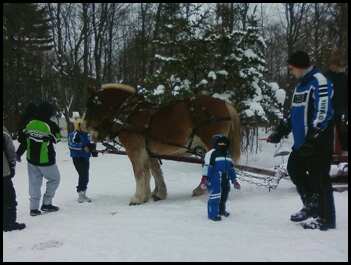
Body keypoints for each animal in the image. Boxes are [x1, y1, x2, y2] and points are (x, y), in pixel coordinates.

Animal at [84, 82, 242, 204]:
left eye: (92, 105)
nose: (85, 127)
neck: (129, 114)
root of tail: (224, 103)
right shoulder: (148, 151)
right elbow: (153, 172)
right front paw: (154, 195)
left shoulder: (135, 150)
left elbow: (140, 173)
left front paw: (138, 198)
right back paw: (201, 189)